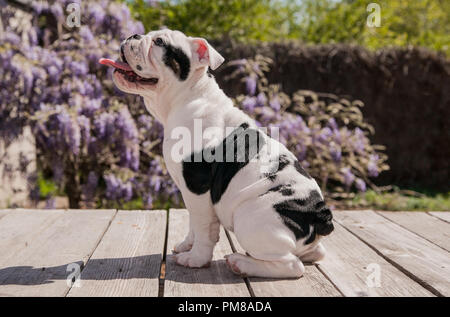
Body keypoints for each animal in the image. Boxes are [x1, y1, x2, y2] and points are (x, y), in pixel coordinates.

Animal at [100, 29, 332, 276]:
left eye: (159, 42)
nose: (133, 35)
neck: (189, 96)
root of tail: (320, 215)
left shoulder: (197, 186)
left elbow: (204, 228)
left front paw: (196, 258)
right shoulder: (190, 193)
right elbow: (193, 222)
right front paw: (187, 245)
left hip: (250, 218)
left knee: (292, 265)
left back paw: (241, 263)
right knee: (315, 253)